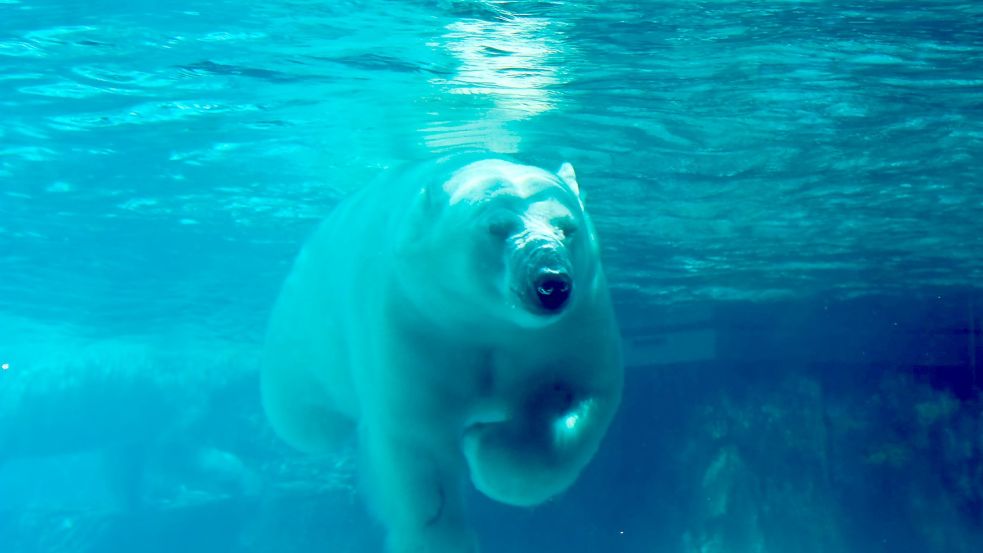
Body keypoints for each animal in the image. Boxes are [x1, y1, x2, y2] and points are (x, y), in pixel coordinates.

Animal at [262, 155, 624, 552]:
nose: (551, 283)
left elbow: (578, 393)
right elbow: (418, 447)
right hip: (302, 333)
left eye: (567, 227)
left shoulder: (570, 328)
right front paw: (442, 538)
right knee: (304, 421)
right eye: (496, 227)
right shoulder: (414, 326)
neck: (483, 320)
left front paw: (484, 444)